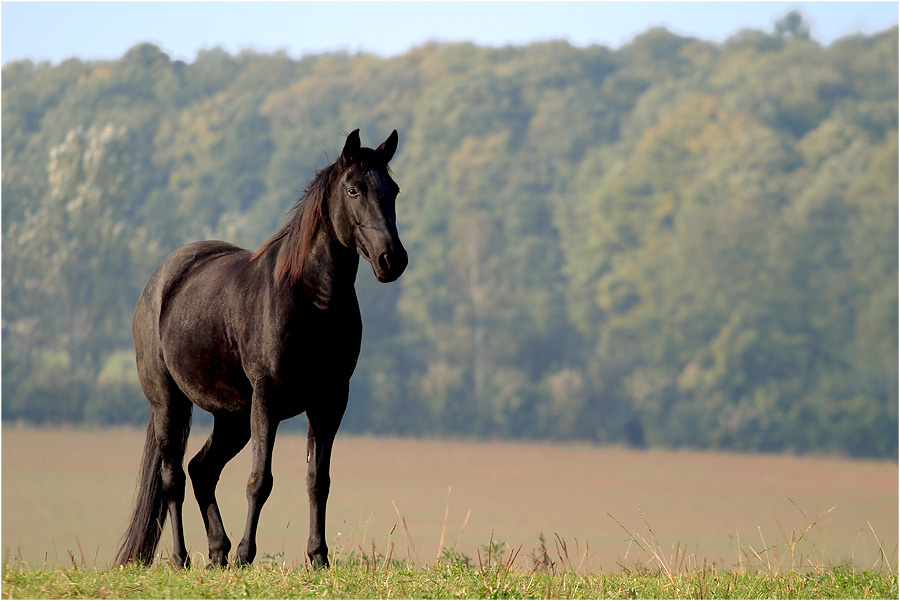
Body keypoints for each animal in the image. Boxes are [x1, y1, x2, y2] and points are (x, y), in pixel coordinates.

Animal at [116, 129, 407, 569]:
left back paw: (217, 551)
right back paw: (183, 558)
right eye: (354, 189)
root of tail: (160, 281)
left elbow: (318, 480)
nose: (393, 259)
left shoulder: (330, 400)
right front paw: (246, 554)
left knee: (202, 470)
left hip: (232, 417)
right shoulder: (268, 397)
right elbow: (260, 480)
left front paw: (318, 556)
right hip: (170, 404)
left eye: (393, 190)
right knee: (173, 479)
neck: (310, 299)